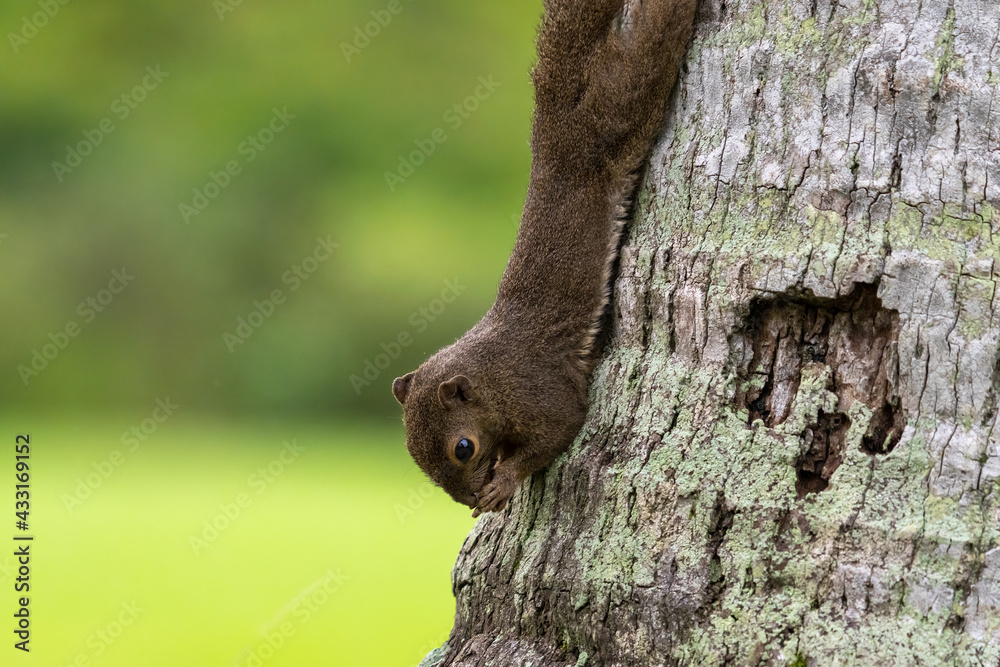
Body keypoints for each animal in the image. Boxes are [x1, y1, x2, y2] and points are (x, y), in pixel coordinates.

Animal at [392, 0, 697, 516]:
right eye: (415, 456)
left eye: (463, 448)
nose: (468, 499)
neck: (490, 378)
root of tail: (554, 124)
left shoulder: (537, 393)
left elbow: (560, 429)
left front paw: (503, 483)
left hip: (621, 104)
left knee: (651, 45)